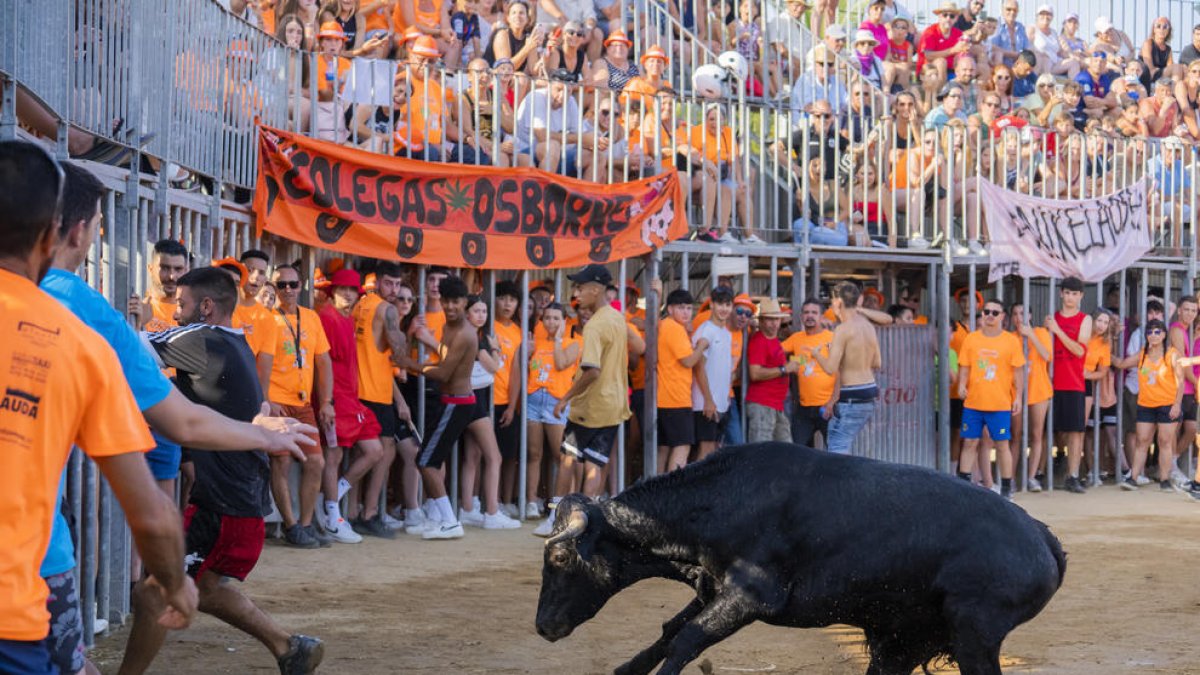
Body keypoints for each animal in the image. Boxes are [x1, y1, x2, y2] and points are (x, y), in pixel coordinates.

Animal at [540, 441, 1065, 672]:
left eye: (562, 559)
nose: (543, 626)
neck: (721, 502)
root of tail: (1043, 539)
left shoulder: (751, 597)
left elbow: (686, 640)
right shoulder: (713, 589)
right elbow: (670, 633)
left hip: (974, 635)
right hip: (905, 642)